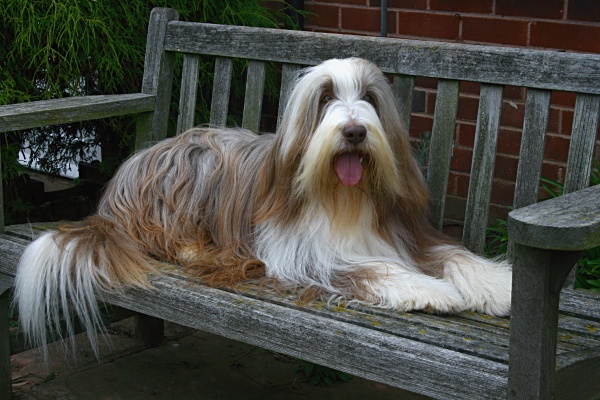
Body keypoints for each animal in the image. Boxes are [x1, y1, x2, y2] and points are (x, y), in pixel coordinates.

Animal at [15, 58, 512, 357]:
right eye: (326, 98)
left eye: (369, 99)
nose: (354, 131)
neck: (342, 197)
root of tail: (126, 174)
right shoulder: (302, 254)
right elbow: (369, 268)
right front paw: (429, 291)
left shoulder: (407, 234)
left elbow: (453, 254)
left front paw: (499, 285)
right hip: (195, 167)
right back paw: (192, 249)